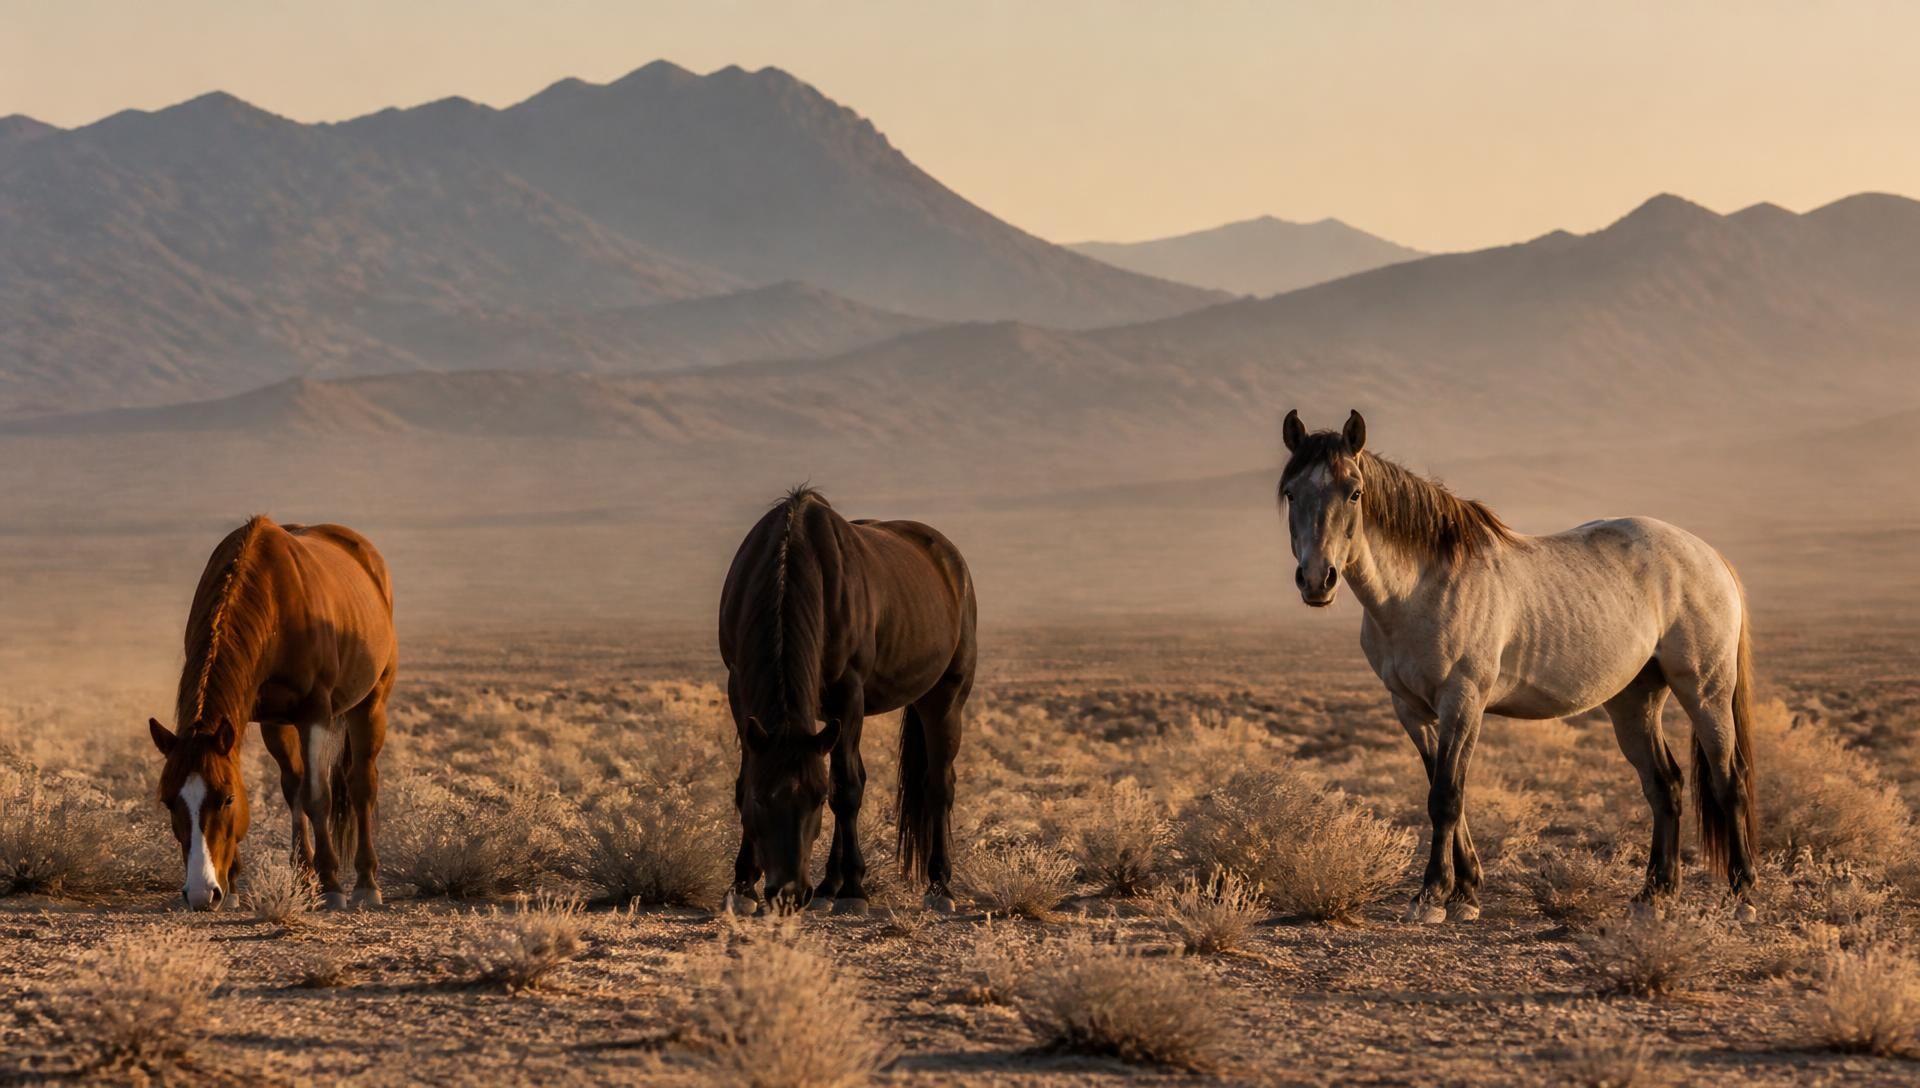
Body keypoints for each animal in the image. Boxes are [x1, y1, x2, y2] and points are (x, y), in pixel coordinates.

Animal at [148, 515, 397, 911]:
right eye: (168, 800)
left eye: (226, 799)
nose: (201, 893)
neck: (274, 602)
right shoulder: (260, 716)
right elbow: (291, 790)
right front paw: (234, 886)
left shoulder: (315, 713)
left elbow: (318, 796)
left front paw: (331, 885)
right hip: (278, 724)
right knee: (293, 785)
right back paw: (303, 876)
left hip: (370, 705)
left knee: (361, 786)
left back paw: (365, 883)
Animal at [717, 487, 977, 914]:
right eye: (761, 798)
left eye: (816, 800)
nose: (789, 892)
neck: (791, 562)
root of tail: (950, 560)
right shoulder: (738, 690)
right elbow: (746, 781)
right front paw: (742, 885)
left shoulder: (848, 693)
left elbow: (846, 790)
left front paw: (855, 888)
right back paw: (828, 885)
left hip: (945, 697)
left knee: (939, 785)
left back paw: (939, 887)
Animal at [1277, 410, 1758, 923]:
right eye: (1292, 493)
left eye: (1354, 492)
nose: (1317, 580)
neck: (1422, 587)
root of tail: (1708, 556)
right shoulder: (1409, 708)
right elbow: (1443, 789)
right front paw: (1465, 893)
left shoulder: (1463, 702)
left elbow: (1446, 796)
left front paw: (1432, 896)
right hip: (1635, 701)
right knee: (1664, 784)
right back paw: (1655, 894)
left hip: (1705, 691)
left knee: (1729, 781)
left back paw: (1742, 895)